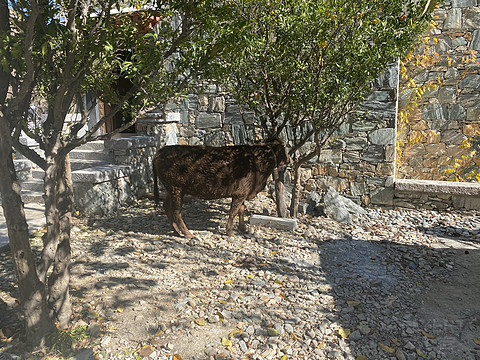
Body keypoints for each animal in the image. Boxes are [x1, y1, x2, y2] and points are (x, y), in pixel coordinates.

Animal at [154, 139, 288, 238]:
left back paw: (176, 231)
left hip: (172, 190)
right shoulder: (240, 194)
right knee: (176, 212)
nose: (289, 159)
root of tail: (161, 151)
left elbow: (241, 210)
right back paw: (187, 234)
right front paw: (230, 232)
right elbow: (233, 212)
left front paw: (243, 228)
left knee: (166, 206)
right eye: (284, 148)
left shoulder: (242, 193)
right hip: (176, 189)